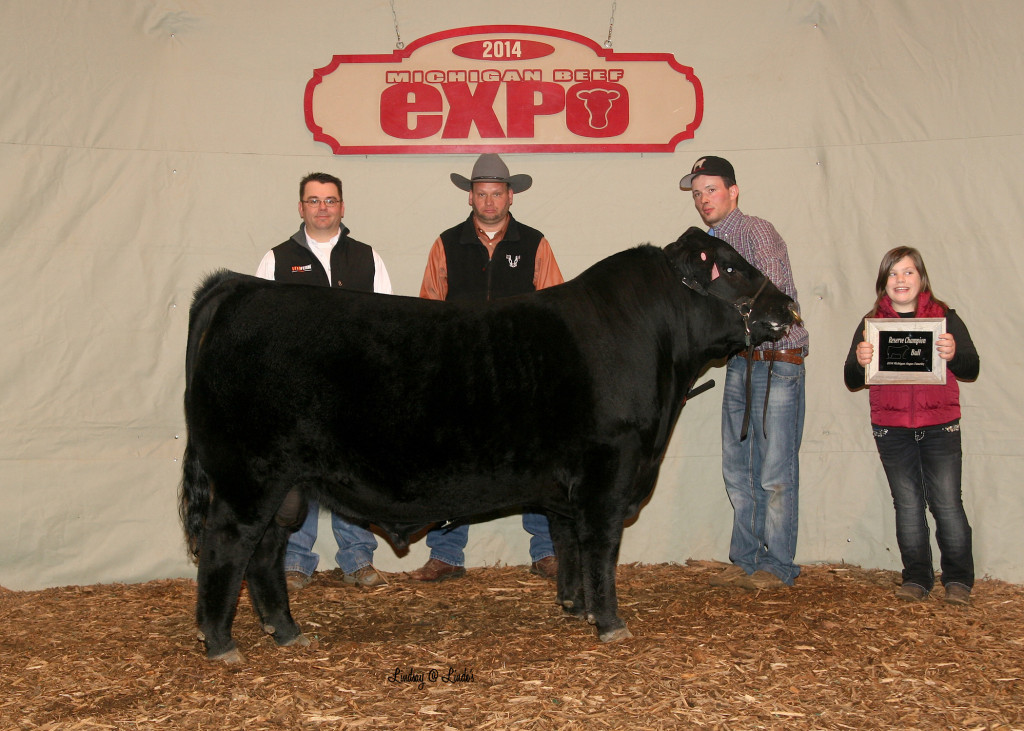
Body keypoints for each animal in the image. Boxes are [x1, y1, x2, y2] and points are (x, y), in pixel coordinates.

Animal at [179, 226, 799, 662]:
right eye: (735, 268)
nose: (788, 307)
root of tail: (243, 286)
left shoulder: (567, 488)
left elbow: (568, 543)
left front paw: (573, 607)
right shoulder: (609, 471)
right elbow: (600, 549)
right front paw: (610, 623)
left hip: (285, 486)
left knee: (265, 553)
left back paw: (287, 633)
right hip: (248, 477)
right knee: (226, 546)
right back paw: (222, 644)